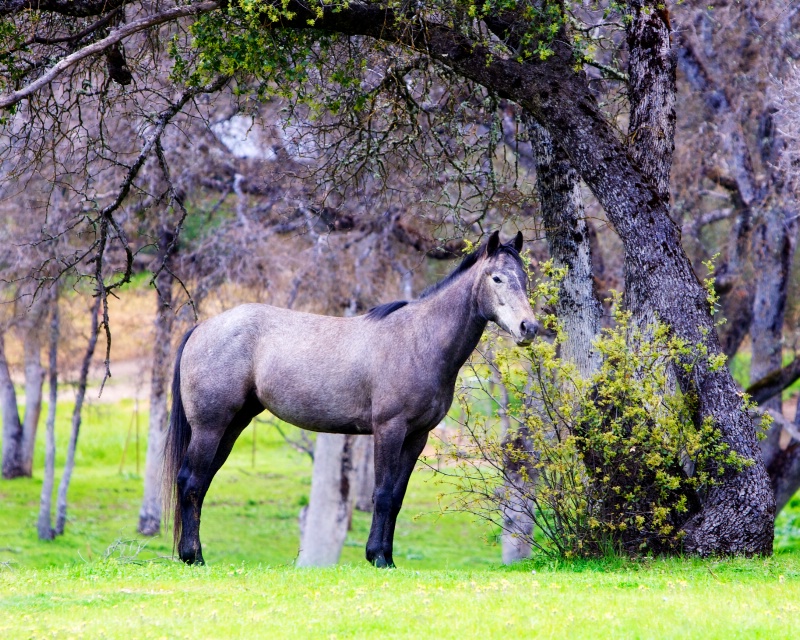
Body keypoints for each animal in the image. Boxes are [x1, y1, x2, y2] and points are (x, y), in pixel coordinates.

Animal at [162, 229, 536, 564]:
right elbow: (382, 494)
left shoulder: (417, 437)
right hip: (210, 426)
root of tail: (202, 328)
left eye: (524, 277)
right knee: (191, 482)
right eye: (497, 278)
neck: (419, 340)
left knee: (201, 483)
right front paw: (378, 558)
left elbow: (396, 497)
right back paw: (193, 556)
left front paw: (388, 558)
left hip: (232, 426)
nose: (528, 328)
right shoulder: (389, 429)